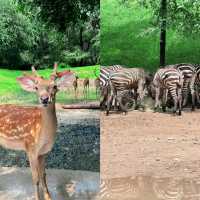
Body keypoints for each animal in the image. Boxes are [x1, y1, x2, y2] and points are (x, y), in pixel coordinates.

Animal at [0, 65, 74, 199]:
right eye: (36, 87)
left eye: (54, 86)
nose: (44, 99)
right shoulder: (30, 148)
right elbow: (36, 178)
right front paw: (37, 197)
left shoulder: (43, 152)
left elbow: (43, 175)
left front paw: (48, 197)